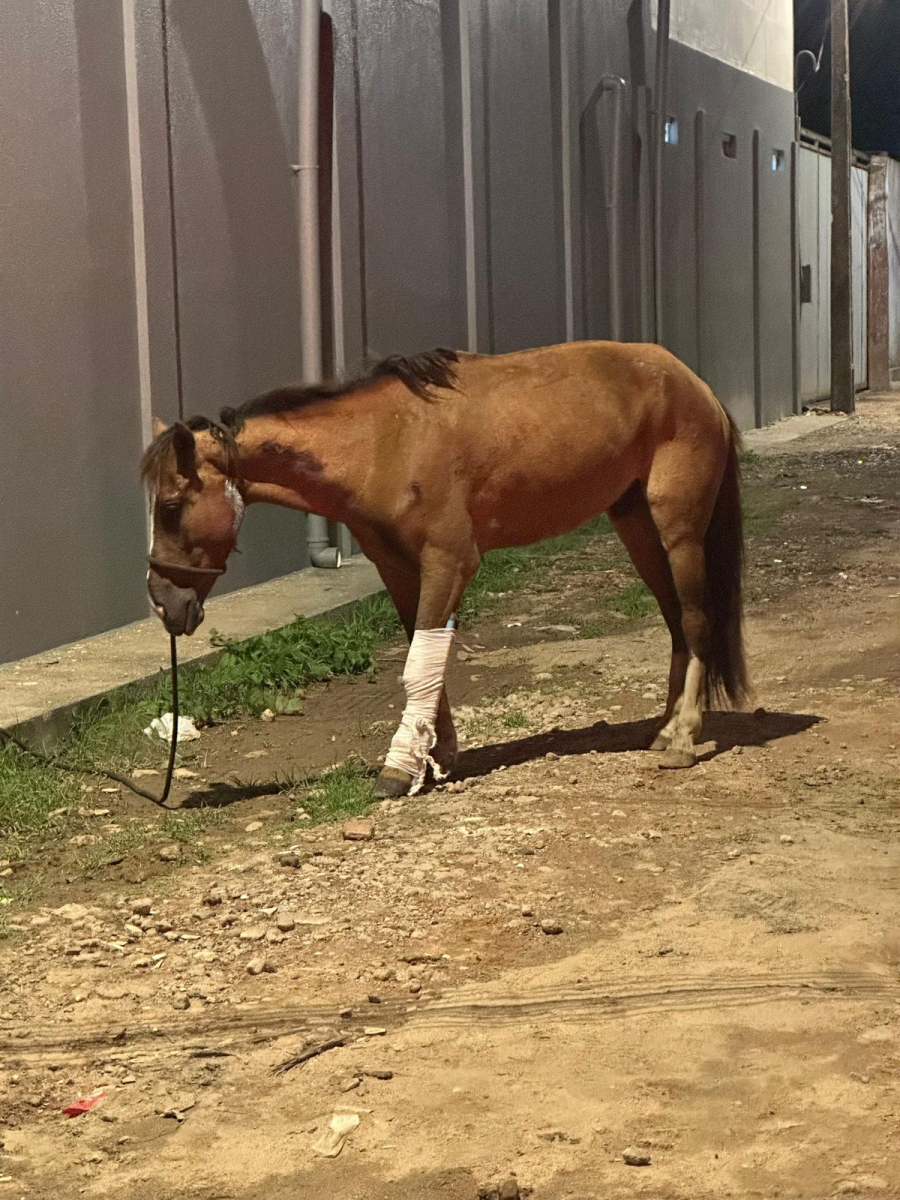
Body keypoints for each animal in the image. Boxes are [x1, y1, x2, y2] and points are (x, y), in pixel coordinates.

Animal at [141, 340, 747, 797]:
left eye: (169, 506)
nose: (163, 602)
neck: (381, 442)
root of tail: (696, 385)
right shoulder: (398, 568)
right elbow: (424, 657)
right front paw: (437, 753)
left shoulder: (450, 562)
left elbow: (419, 665)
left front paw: (400, 767)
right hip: (635, 525)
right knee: (676, 622)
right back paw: (664, 729)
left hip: (678, 529)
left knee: (696, 621)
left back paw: (684, 738)